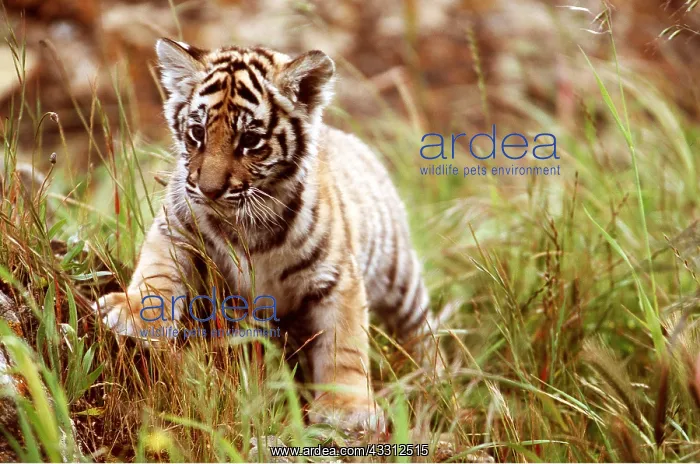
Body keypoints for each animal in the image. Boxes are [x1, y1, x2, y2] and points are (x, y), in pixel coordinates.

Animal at [93, 38, 442, 430]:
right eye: (197, 133)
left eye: (250, 140)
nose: (209, 190)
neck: (244, 223)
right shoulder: (176, 228)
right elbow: (156, 272)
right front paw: (134, 314)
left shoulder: (338, 278)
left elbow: (345, 342)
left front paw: (346, 407)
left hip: (399, 277)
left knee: (423, 329)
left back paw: (434, 377)